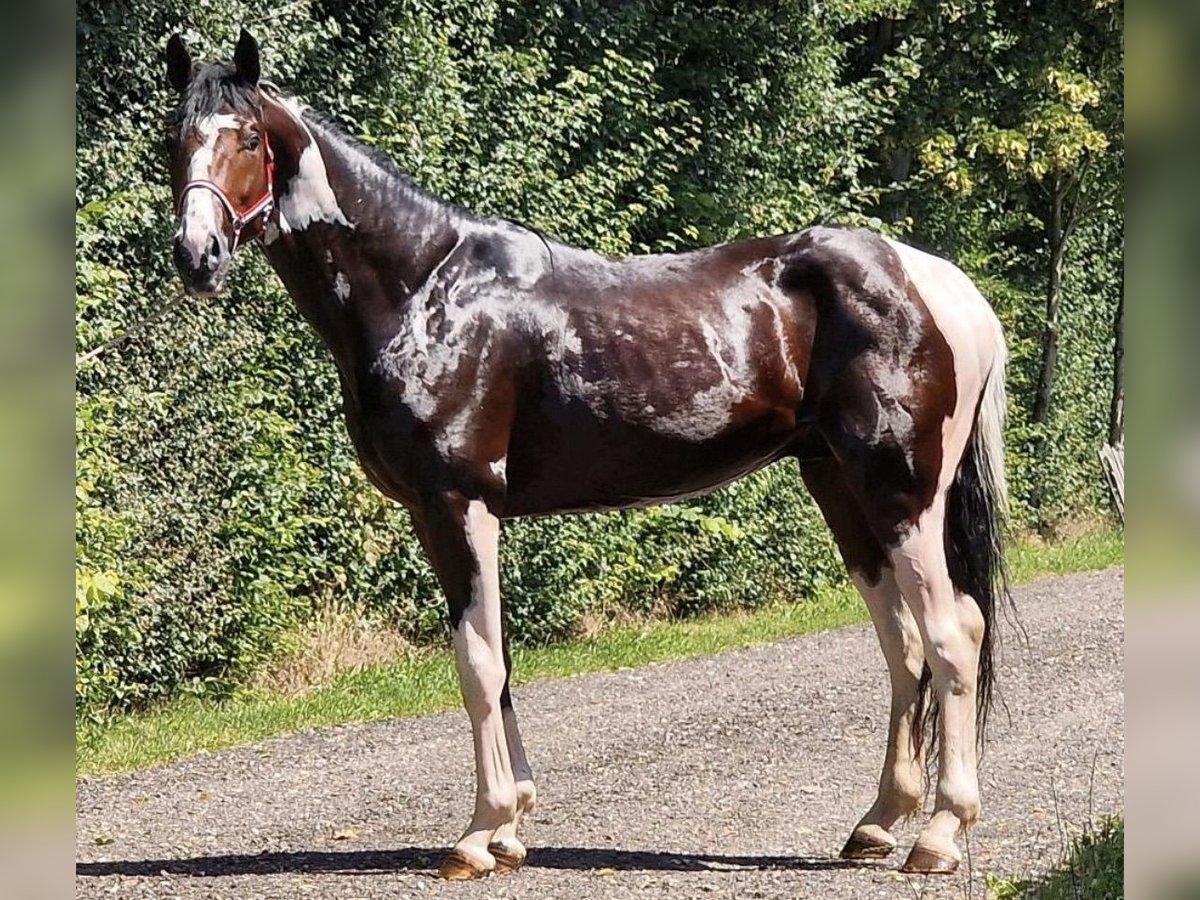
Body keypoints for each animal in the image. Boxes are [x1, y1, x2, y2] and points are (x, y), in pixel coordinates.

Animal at [162, 31, 1012, 883]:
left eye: (247, 137)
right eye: (176, 138)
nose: (197, 256)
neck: (421, 289)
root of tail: (941, 284)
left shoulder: (458, 502)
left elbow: (478, 663)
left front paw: (478, 835)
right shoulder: (443, 515)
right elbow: (498, 657)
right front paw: (510, 829)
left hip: (901, 494)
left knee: (953, 634)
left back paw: (939, 834)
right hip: (839, 486)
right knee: (903, 644)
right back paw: (878, 823)